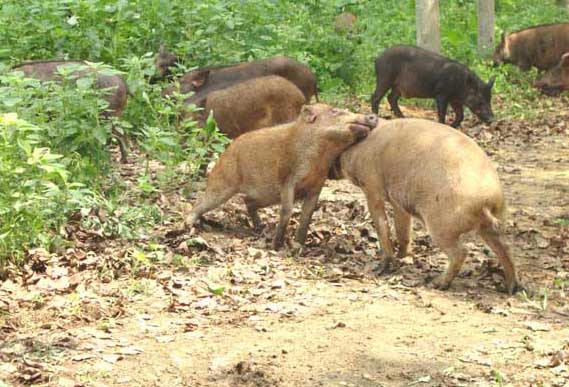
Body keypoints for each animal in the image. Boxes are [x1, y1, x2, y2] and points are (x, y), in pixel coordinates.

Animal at [183, 104, 378, 249]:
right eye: (334, 111)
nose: (373, 116)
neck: (318, 158)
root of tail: (224, 152)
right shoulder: (288, 181)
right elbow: (287, 209)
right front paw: (277, 245)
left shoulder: (317, 186)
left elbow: (307, 215)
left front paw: (299, 245)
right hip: (223, 182)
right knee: (200, 202)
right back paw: (187, 226)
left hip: (265, 196)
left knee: (247, 201)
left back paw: (260, 227)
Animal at [328, 118, 520, 294]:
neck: (357, 149)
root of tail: (487, 201)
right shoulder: (398, 203)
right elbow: (403, 230)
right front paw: (403, 257)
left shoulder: (372, 186)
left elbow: (382, 225)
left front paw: (382, 268)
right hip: (496, 222)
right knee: (506, 248)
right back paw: (511, 288)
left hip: (441, 226)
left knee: (461, 252)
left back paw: (437, 283)